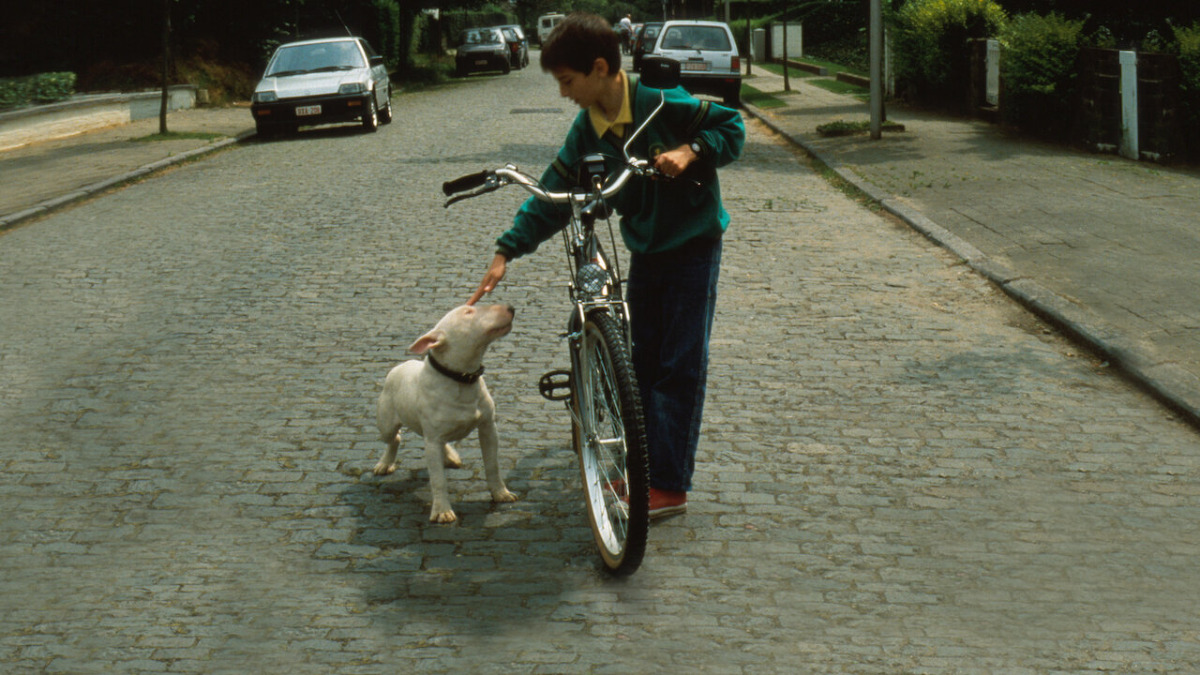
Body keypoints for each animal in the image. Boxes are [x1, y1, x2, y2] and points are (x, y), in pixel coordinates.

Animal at [374, 302, 516, 523]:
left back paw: (451, 457)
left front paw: (501, 493)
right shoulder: (432, 441)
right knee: (394, 438)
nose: (510, 307)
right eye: (468, 312)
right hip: (387, 423)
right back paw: (384, 463)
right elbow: (438, 479)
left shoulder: (488, 428)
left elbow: (493, 464)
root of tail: (401, 365)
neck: (461, 377)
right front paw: (442, 511)